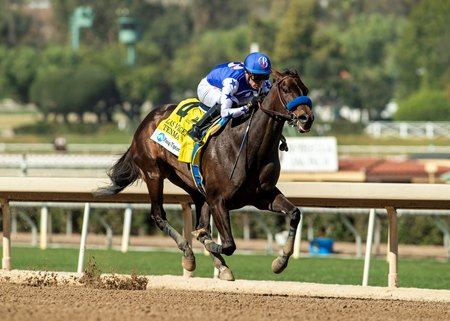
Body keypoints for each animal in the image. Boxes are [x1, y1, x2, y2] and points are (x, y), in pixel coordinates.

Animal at [95, 69, 312, 278]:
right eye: (285, 89)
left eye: (305, 90)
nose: (307, 118)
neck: (249, 146)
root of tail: (146, 120)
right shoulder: (218, 200)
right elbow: (228, 244)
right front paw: (204, 242)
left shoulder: (263, 196)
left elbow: (295, 213)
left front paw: (280, 262)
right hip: (153, 174)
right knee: (158, 215)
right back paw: (188, 254)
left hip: (191, 183)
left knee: (198, 215)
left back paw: (217, 264)